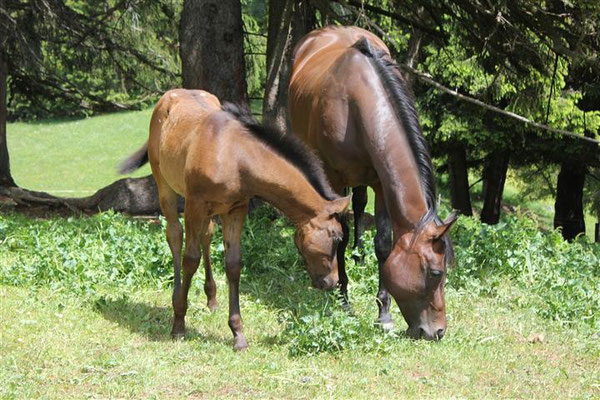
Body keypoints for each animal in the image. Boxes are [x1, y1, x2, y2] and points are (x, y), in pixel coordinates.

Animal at [119, 88, 350, 350]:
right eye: (336, 237)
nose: (332, 282)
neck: (235, 158)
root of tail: (167, 97)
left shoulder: (235, 210)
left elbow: (233, 265)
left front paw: (238, 333)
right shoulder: (194, 205)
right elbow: (190, 259)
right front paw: (179, 323)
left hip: (209, 210)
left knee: (206, 235)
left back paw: (211, 298)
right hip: (165, 187)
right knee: (175, 235)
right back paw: (177, 297)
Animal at [288, 26, 458, 340]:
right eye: (436, 273)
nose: (438, 331)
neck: (358, 105)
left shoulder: (381, 182)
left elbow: (383, 244)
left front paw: (384, 313)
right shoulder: (335, 177)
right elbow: (339, 233)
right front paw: (343, 298)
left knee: (359, 203)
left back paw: (359, 255)